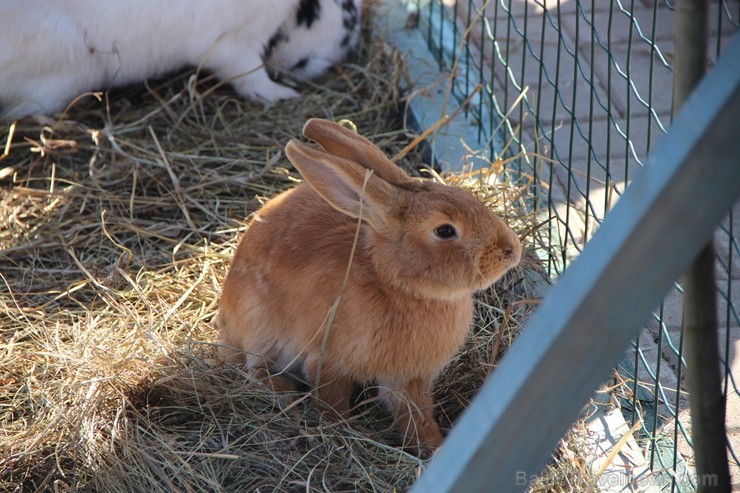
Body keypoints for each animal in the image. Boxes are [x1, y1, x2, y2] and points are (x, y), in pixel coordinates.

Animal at [217, 118, 524, 454]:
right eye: (445, 230)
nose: (512, 250)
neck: (396, 285)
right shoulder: (328, 359)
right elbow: (332, 398)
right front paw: (337, 427)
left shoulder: (409, 378)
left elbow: (415, 413)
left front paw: (432, 446)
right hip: (259, 325)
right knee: (253, 368)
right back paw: (284, 390)